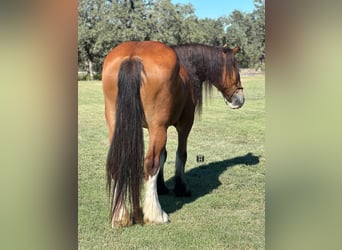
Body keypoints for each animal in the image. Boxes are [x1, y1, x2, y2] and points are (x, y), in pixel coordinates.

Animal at [101, 40, 243, 228]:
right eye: (235, 68)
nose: (239, 99)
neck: (186, 68)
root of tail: (133, 57)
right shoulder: (184, 125)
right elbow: (180, 155)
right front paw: (180, 188)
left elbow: (163, 155)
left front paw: (161, 187)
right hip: (158, 128)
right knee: (150, 164)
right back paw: (156, 215)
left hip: (117, 126)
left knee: (118, 161)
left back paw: (120, 216)